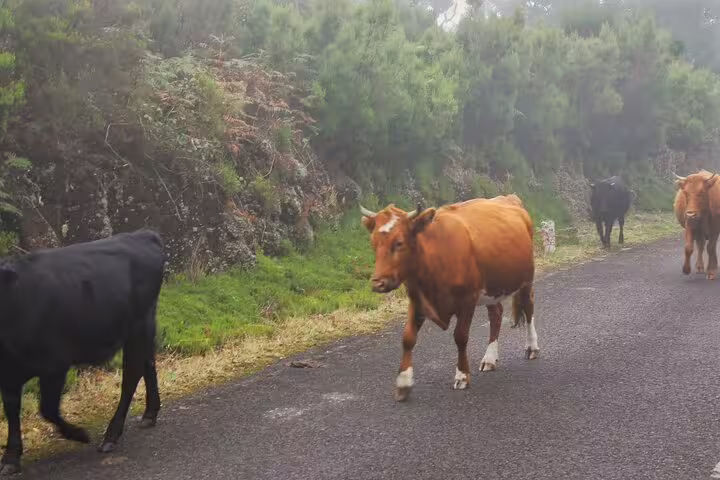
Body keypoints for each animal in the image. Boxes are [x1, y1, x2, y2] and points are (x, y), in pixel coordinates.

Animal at [0, 229, 165, 475]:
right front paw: (11, 457)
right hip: (145, 326)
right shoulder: (8, 373)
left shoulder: (55, 364)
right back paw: (149, 414)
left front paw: (79, 434)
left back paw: (111, 435)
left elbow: (47, 408)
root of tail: (141, 234)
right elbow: (12, 410)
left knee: (132, 375)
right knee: (148, 364)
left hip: (137, 326)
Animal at [360, 196, 539, 402]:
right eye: (373, 243)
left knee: (528, 308)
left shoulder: (468, 299)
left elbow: (460, 337)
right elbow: (408, 338)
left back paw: (532, 347)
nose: (377, 283)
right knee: (496, 314)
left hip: (526, 280)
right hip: (492, 289)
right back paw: (489, 358)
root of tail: (509, 198)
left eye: (399, 242)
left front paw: (462, 376)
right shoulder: (417, 299)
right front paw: (403, 382)